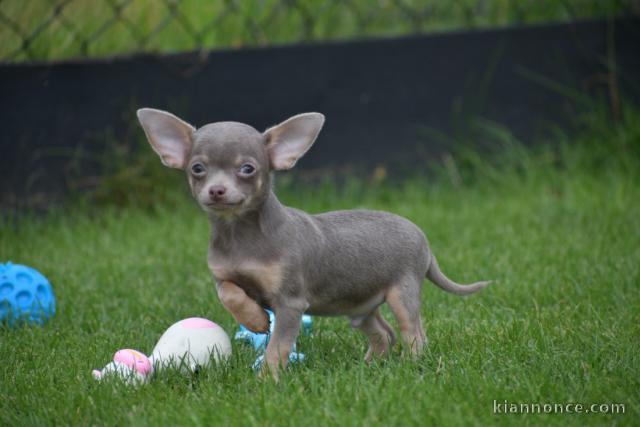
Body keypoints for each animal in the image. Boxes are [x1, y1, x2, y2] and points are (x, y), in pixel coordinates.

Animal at [139, 110, 490, 382]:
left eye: (247, 169)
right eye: (197, 169)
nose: (217, 190)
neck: (240, 234)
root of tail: (422, 238)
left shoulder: (290, 304)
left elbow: (277, 346)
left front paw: (267, 380)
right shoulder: (223, 276)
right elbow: (229, 293)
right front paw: (255, 319)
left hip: (402, 294)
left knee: (413, 333)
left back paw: (409, 366)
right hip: (359, 307)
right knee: (383, 333)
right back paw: (369, 367)